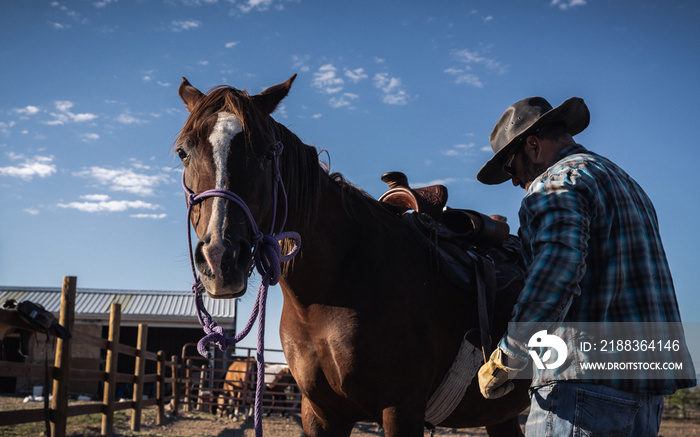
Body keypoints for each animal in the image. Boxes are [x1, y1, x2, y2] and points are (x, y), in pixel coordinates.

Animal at [176, 76, 532, 436]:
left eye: (266, 153)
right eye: (183, 152)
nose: (220, 258)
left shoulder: (401, 410)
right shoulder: (320, 413)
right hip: (498, 416)